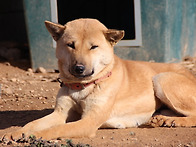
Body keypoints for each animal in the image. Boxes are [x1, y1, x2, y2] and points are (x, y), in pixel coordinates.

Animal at [3, 18, 196, 140]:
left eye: (94, 47)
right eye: (70, 45)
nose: (79, 68)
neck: (81, 87)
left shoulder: (88, 121)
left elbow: (58, 128)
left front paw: (35, 136)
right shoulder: (59, 113)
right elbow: (32, 123)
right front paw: (16, 132)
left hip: (161, 79)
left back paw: (172, 121)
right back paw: (162, 119)